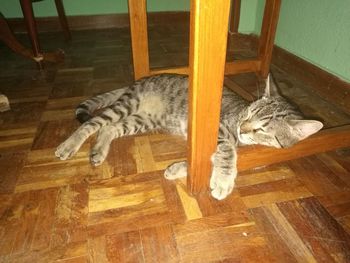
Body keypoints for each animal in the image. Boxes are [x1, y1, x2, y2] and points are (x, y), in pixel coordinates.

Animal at [55, 73, 322, 200]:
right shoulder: (217, 132)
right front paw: (223, 181)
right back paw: (68, 146)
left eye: (263, 129)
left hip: (142, 120)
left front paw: (177, 169)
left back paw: (98, 151)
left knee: (109, 129)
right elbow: (227, 153)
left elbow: (201, 162)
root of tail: (138, 81)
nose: (243, 128)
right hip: (127, 106)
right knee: (91, 124)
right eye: (249, 112)